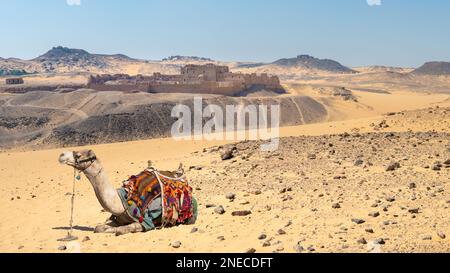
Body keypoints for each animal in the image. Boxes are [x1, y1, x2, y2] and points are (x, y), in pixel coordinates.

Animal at [58, 149, 197, 236]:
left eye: (78, 155)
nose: (61, 155)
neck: (120, 202)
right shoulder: (118, 218)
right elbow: (99, 228)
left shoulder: (146, 221)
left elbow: (120, 230)